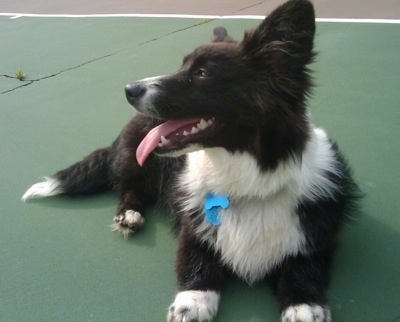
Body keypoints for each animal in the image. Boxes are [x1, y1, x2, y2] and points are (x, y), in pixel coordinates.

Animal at [21, 1, 360, 320]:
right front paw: (193, 302)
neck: (248, 182)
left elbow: (302, 270)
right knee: (129, 189)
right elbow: (197, 263)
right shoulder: (192, 231)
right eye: (182, 66)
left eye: (201, 73)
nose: (129, 90)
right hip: (134, 161)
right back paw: (128, 215)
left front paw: (303, 306)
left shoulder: (318, 241)